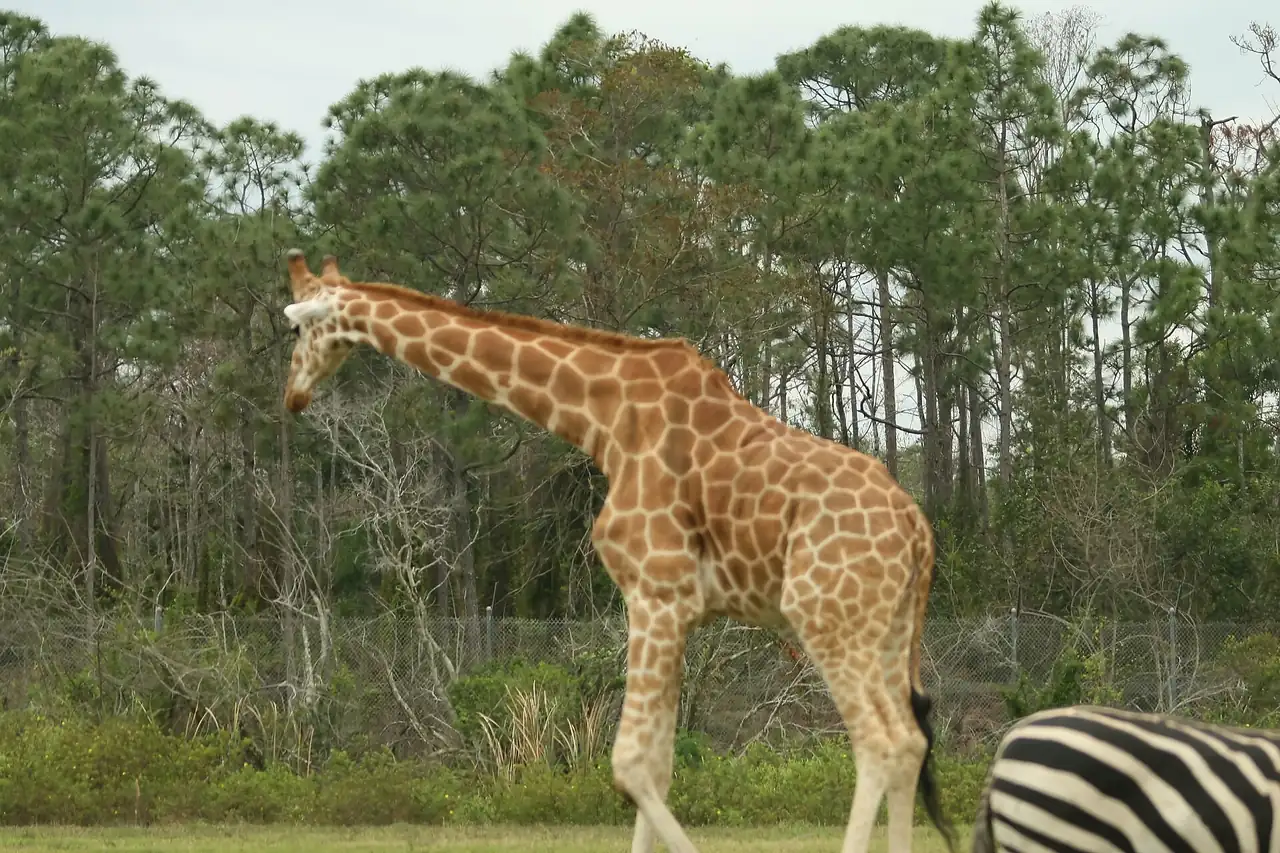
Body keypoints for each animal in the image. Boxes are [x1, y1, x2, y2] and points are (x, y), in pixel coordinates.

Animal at [278, 249, 955, 853]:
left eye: (296, 327)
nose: (292, 395)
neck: (601, 422)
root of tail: (918, 532)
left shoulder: (657, 594)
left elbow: (628, 764)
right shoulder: (672, 607)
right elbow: (655, 767)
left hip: (827, 619)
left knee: (881, 743)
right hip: (885, 630)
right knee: (910, 744)